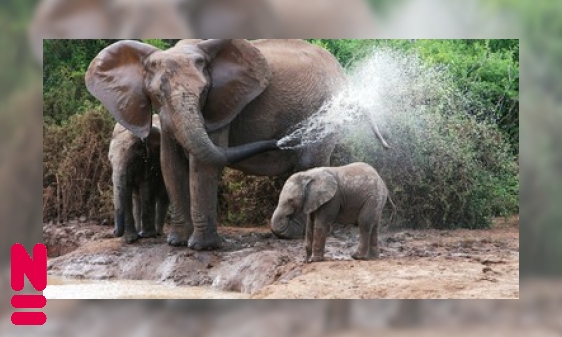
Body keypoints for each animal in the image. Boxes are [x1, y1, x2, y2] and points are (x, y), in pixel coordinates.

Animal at [107, 114, 168, 243]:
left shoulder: (151, 159)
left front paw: (147, 236)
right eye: (110, 161)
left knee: (163, 196)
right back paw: (140, 232)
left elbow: (146, 187)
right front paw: (130, 239)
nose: (113, 231)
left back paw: (157, 232)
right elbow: (127, 191)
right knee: (137, 198)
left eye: (133, 160)